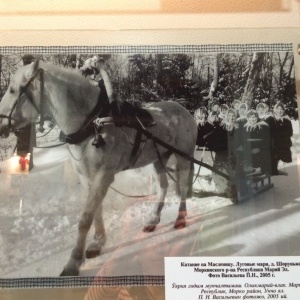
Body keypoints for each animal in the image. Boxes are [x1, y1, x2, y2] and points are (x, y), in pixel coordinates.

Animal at [0, 59, 198, 276]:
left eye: (12, 90)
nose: (0, 123)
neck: (93, 124)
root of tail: (184, 110)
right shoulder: (88, 176)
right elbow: (96, 210)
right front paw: (97, 243)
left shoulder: (104, 175)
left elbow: (86, 217)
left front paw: (74, 261)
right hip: (158, 159)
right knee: (163, 186)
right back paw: (153, 220)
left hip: (183, 157)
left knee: (182, 187)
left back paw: (180, 218)